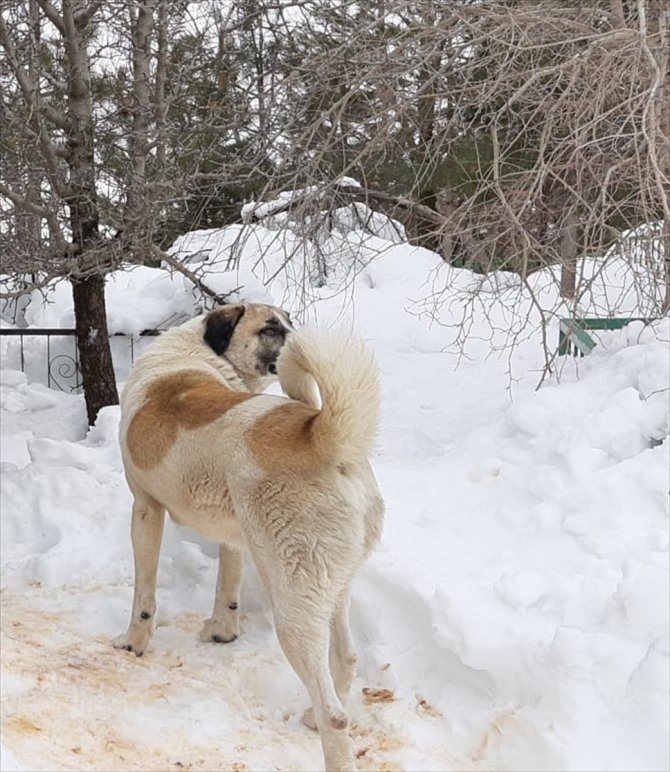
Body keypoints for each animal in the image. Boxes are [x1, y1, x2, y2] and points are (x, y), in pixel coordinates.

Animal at [113, 304, 380, 772]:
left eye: (287, 324)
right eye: (272, 327)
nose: (298, 335)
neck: (199, 354)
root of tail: (323, 437)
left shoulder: (145, 509)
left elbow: (143, 593)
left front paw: (134, 643)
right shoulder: (234, 534)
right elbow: (228, 585)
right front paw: (222, 632)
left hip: (292, 601)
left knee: (335, 715)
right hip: (330, 583)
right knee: (345, 657)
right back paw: (309, 714)